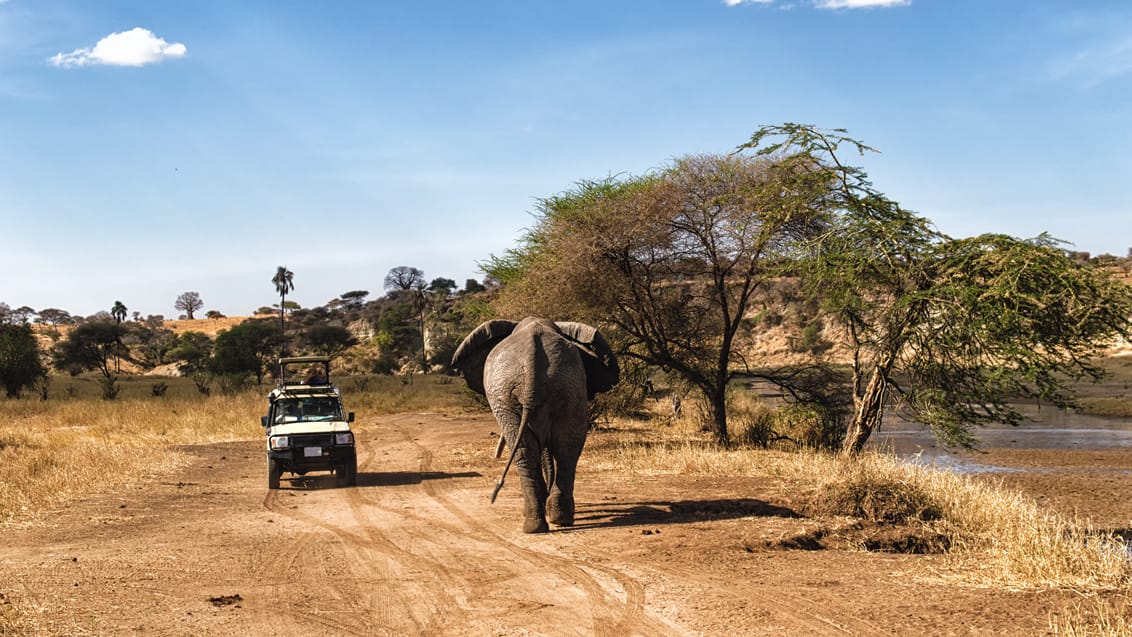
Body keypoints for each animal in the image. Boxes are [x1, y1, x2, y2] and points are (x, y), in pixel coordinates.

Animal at [450, 316, 620, 534]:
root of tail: (533, 363)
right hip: (561, 389)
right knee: (561, 449)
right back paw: (553, 520)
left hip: (513, 395)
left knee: (537, 449)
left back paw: (542, 522)